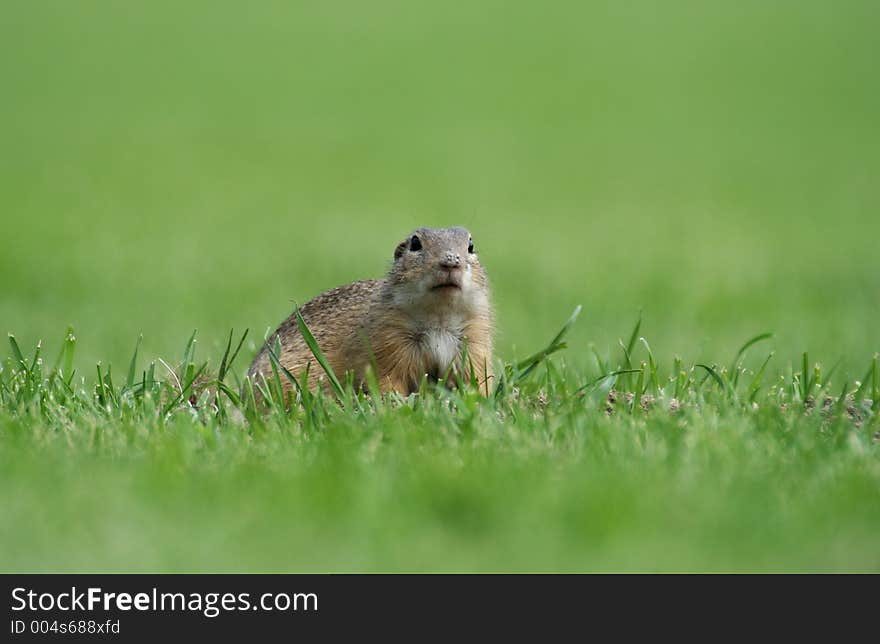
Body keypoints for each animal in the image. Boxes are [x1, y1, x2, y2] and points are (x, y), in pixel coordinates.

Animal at [249, 226, 496, 398]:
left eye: (470, 246)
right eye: (415, 243)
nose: (451, 261)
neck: (439, 318)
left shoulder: (474, 341)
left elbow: (477, 378)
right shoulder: (387, 342)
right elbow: (386, 379)